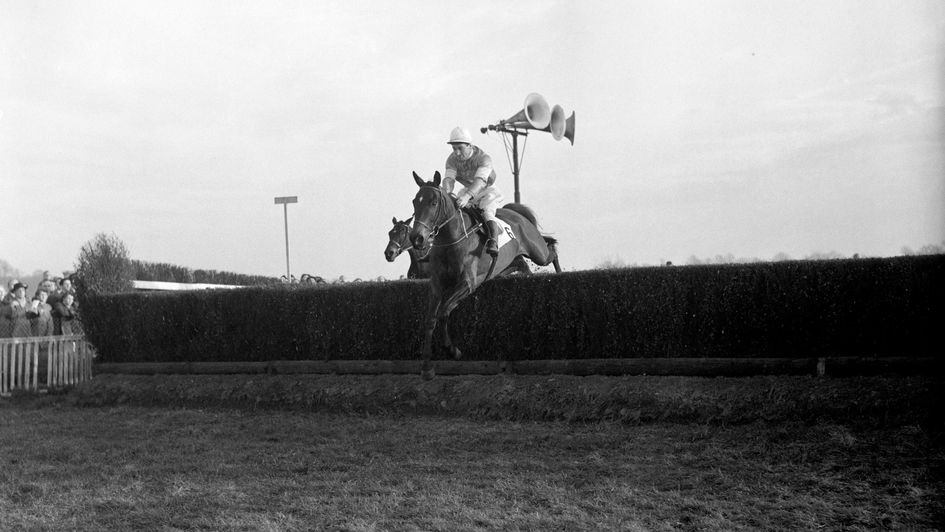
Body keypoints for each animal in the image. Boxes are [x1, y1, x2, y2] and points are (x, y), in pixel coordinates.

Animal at [408, 170, 560, 378]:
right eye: (415, 201)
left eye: (434, 203)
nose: (417, 238)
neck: (452, 238)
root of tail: (518, 215)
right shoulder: (437, 285)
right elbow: (431, 319)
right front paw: (426, 368)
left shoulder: (467, 283)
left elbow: (443, 312)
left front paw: (452, 350)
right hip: (511, 261)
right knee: (522, 263)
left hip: (538, 252)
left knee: (551, 250)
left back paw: (560, 274)